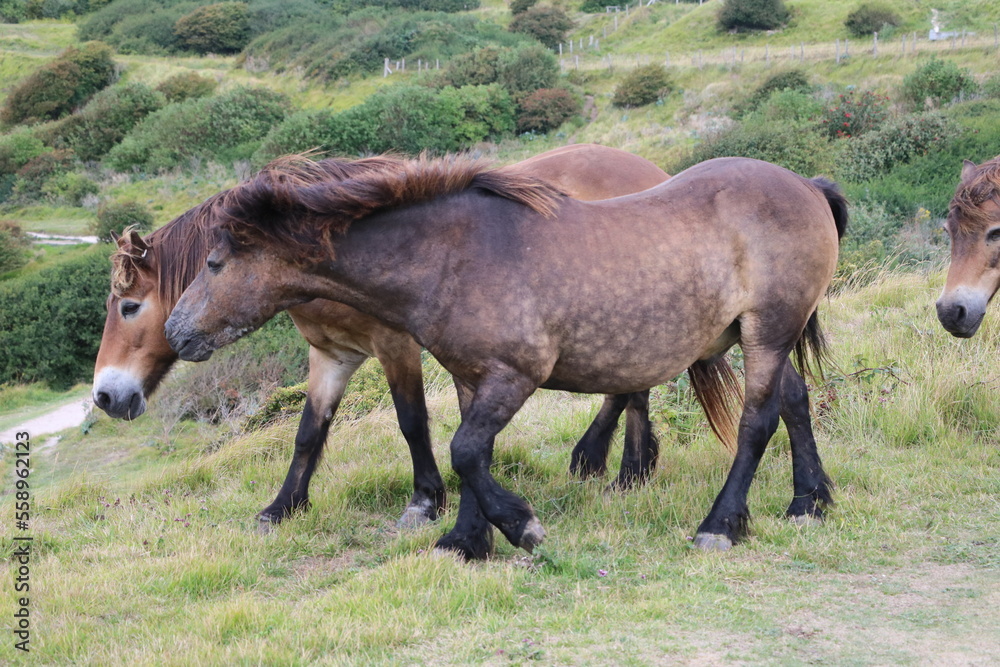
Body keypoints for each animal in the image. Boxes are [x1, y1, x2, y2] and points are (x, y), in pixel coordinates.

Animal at [164, 155, 847, 558]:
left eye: (215, 263)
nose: (176, 333)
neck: (454, 255)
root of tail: (807, 186)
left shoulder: (515, 376)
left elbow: (465, 450)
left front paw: (520, 527)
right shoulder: (472, 378)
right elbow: (472, 453)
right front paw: (466, 541)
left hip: (766, 333)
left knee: (757, 423)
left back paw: (720, 525)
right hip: (757, 337)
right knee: (794, 401)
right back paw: (808, 502)